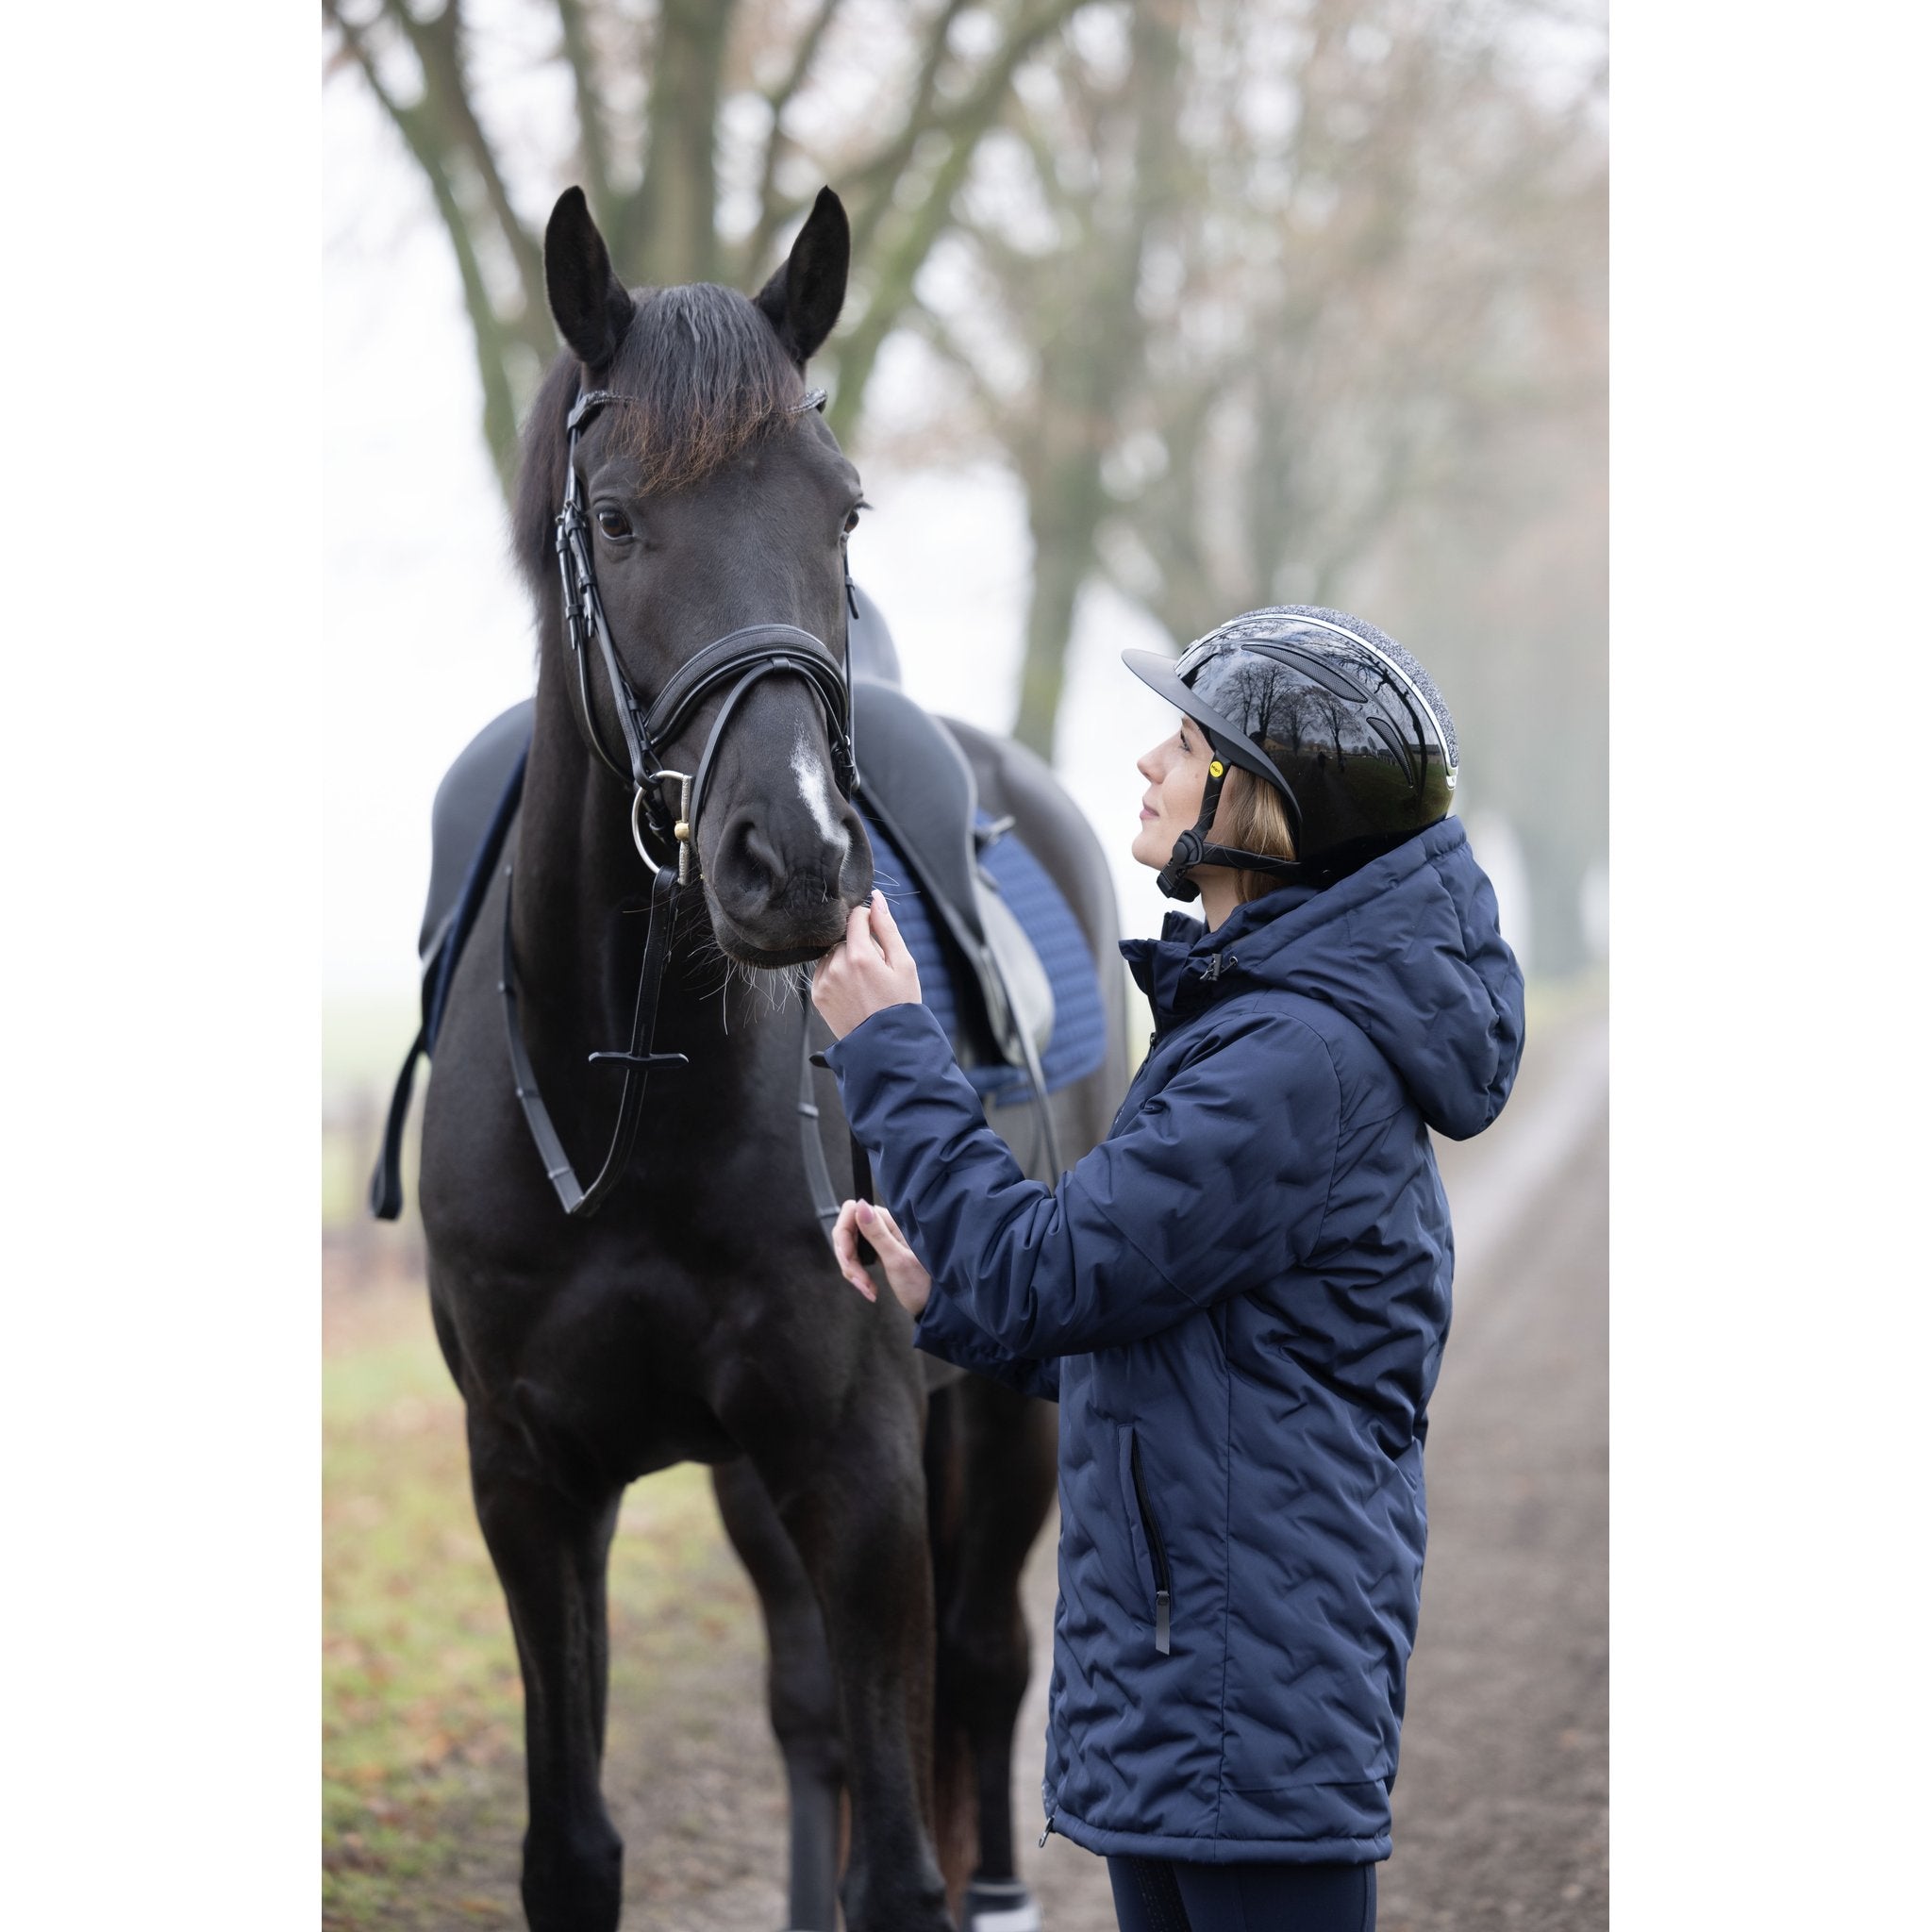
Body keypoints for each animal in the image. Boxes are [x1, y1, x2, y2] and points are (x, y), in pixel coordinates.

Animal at [406, 183, 1127, 1932]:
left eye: (844, 510)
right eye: (613, 518)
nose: (791, 859)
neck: (633, 1079)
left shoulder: (857, 1469)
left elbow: (901, 1861)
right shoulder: (531, 1483)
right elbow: (576, 1847)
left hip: (1003, 1420)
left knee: (983, 1667)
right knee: (811, 1710)